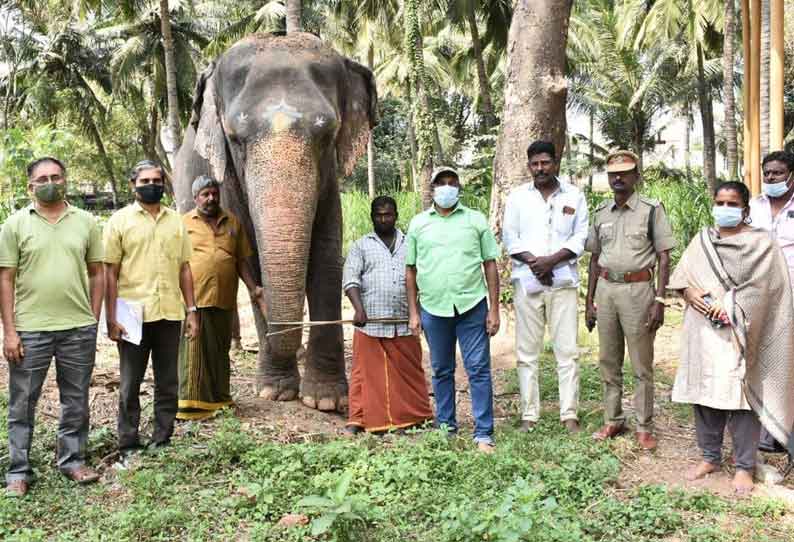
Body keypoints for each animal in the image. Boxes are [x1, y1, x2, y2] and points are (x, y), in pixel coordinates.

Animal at [172, 31, 376, 412]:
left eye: (328, 135)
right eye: (235, 138)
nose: (266, 298)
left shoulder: (329, 182)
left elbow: (327, 256)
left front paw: (325, 399)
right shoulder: (229, 180)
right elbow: (249, 255)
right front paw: (275, 392)